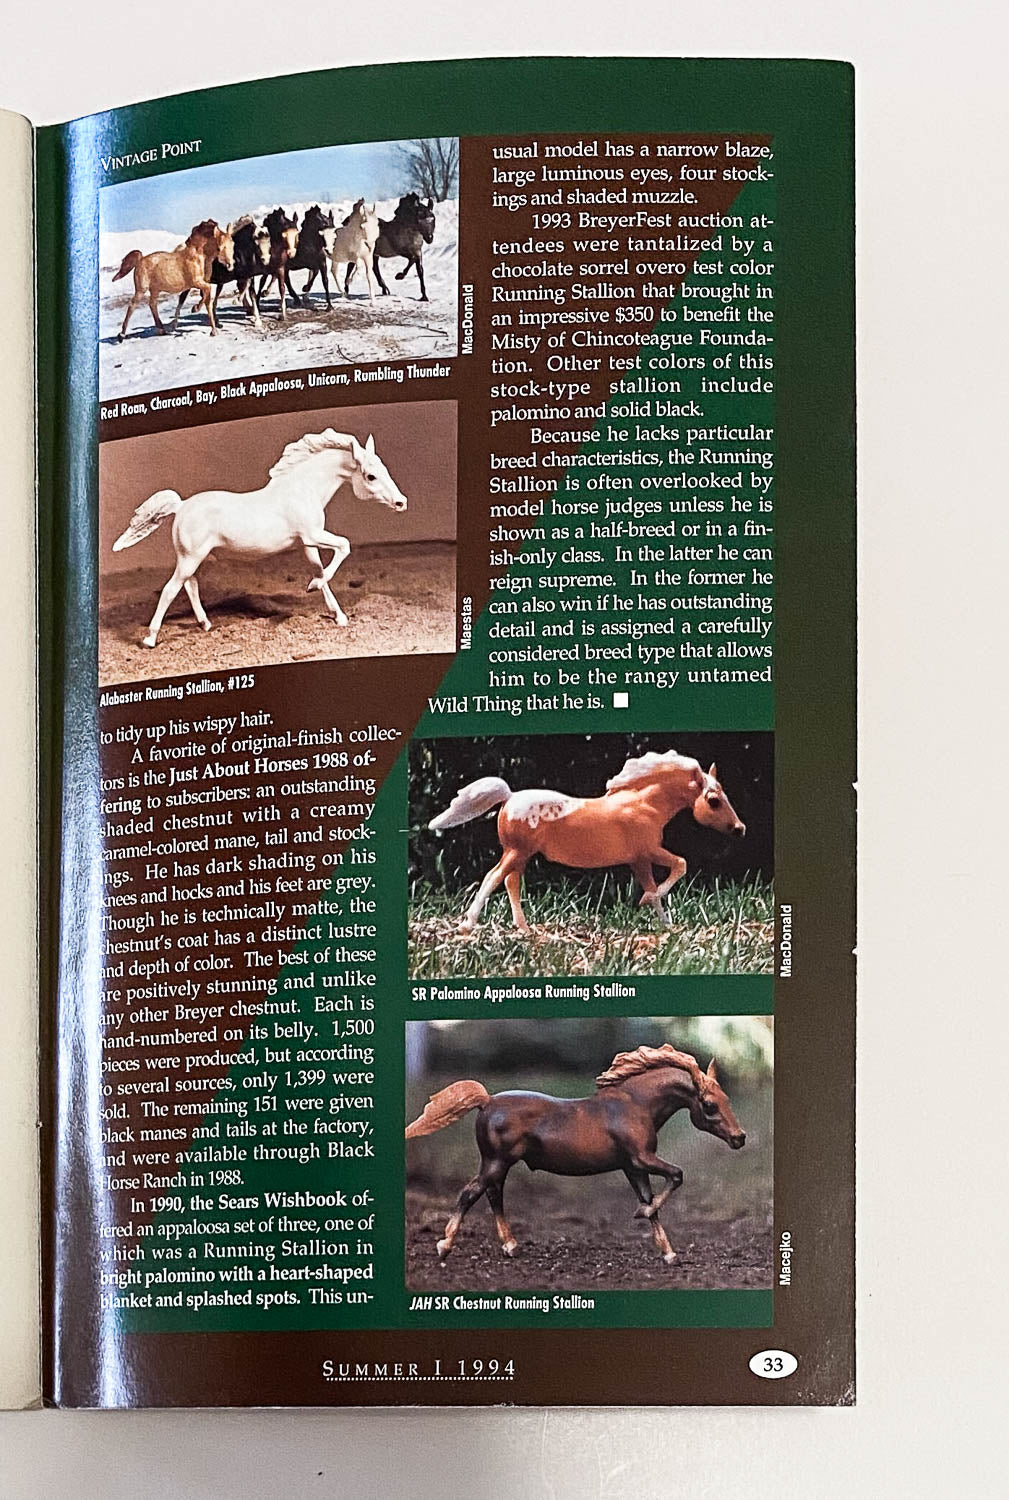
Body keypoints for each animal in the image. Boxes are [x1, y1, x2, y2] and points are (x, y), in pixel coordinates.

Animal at [110, 429, 408, 648]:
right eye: (370, 476)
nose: (401, 502)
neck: (302, 489)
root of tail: (181, 506)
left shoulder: (308, 543)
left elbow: (322, 572)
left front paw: (337, 613)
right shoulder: (313, 535)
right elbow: (344, 546)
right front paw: (314, 589)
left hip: (194, 558)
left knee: (190, 585)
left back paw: (205, 624)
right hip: (190, 558)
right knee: (171, 590)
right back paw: (150, 638)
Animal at [406, 1044, 746, 1266]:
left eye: (726, 1099)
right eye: (709, 1105)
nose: (739, 1138)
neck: (634, 1104)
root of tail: (487, 1101)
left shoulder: (632, 1167)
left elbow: (651, 1200)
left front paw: (669, 1252)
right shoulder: (641, 1159)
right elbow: (676, 1176)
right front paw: (642, 1217)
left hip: (498, 1165)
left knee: (492, 1195)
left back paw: (511, 1246)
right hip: (495, 1163)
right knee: (470, 1193)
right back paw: (445, 1246)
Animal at [429, 750, 746, 933]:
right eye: (714, 801)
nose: (739, 829)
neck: (643, 804)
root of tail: (509, 797)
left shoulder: (639, 859)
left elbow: (654, 886)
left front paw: (667, 926)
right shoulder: (647, 852)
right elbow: (679, 866)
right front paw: (649, 906)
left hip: (519, 854)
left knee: (510, 882)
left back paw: (525, 929)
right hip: (516, 852)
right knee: (493, 878)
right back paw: (468, 924)